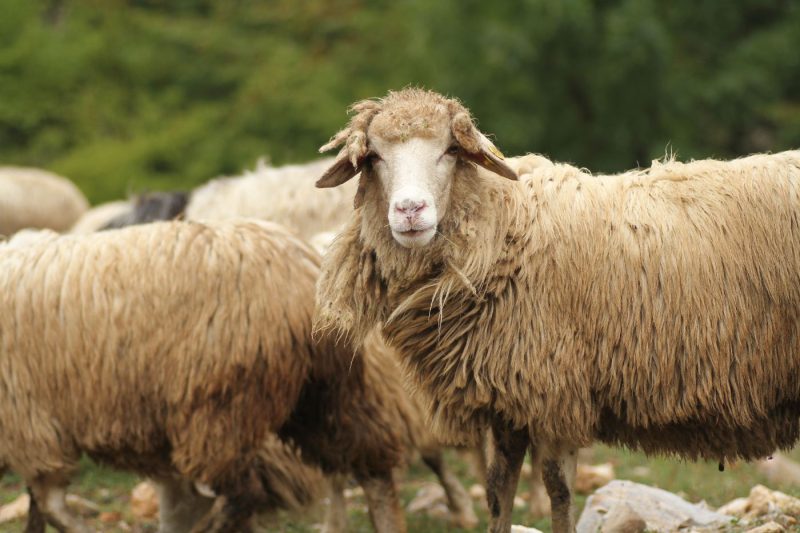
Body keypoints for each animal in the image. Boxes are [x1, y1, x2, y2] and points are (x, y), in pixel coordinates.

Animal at [0, 219, 406, 533]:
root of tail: (300, 267)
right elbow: (40, 505)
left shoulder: (29, 423)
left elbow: (49, 503)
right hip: (327, 389)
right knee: (372, 464)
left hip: (219, 403)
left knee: (243, 493)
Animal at [313, 87, 800, 533]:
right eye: (374, 157)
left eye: (450, 150)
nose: (410, 210)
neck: (502, 231)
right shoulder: (507, 398)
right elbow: (498, 489)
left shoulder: (554, 390)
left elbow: (558, 489)